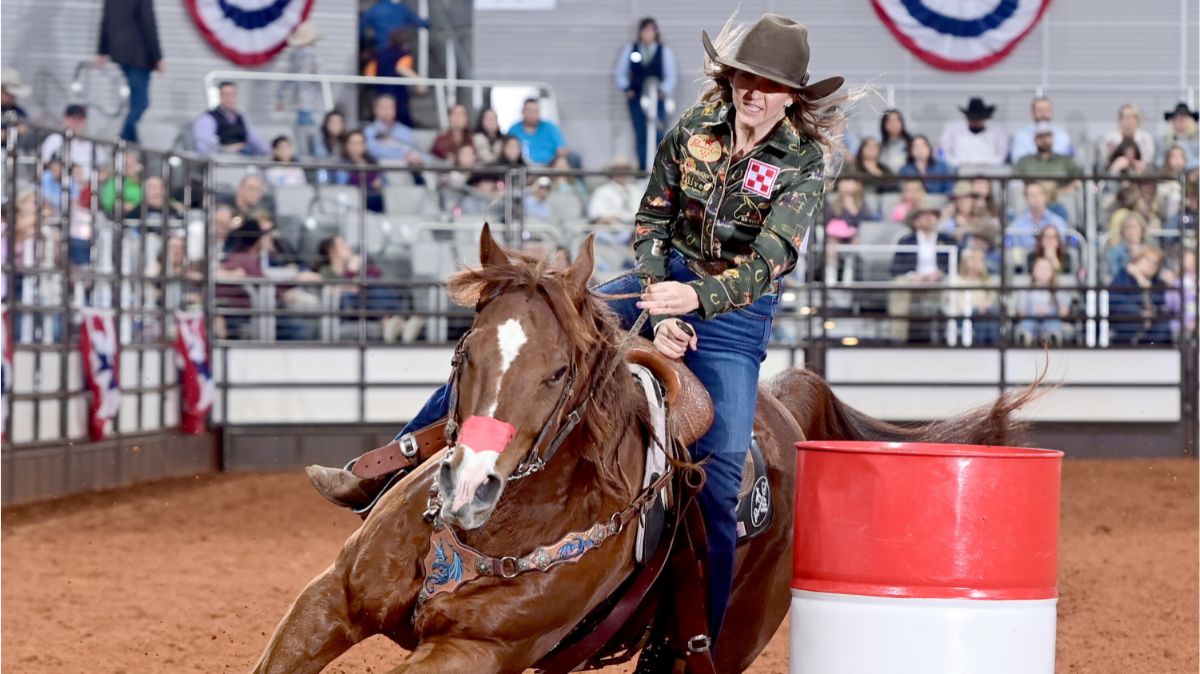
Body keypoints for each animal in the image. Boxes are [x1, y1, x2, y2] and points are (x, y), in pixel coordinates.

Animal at [250, 225, 1032, 671]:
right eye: (466, 351)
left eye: (558, 372)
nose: (468, 488)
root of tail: (788, 400)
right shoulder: (327, 602)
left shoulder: (472, 653)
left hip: (721, 642)